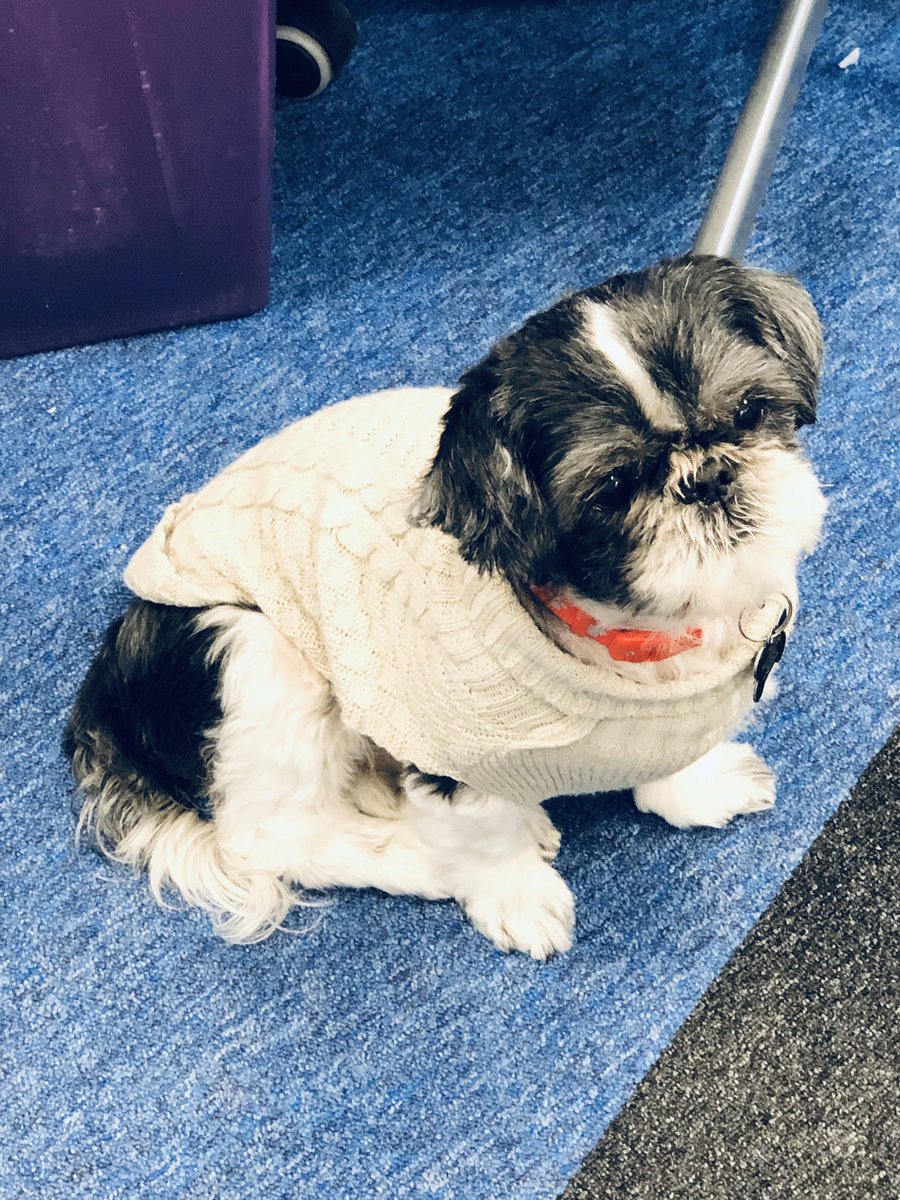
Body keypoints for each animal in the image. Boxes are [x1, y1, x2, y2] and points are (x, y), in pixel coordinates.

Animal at [65, 255, 826, 958]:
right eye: (612, 488)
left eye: (751, 411)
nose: (708, 477)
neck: (638, 638)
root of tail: (106, 683)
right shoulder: (445, 745)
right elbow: (482, 832)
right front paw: (514, 890)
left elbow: (671, 762)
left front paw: (698, 785)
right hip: (262, 657)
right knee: (275, 837)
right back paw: (417, 854)